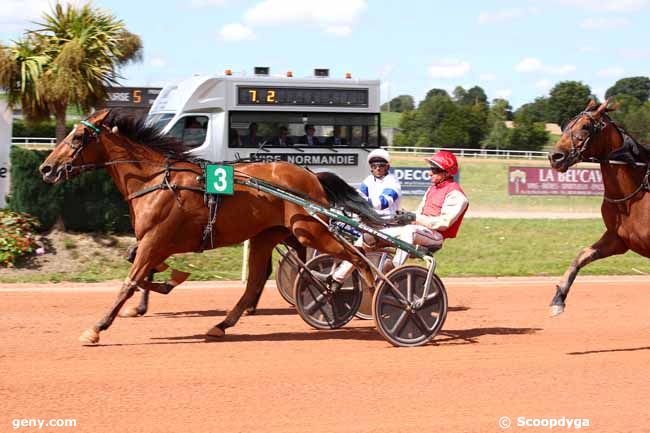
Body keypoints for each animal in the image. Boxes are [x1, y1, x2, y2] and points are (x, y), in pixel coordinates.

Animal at [40, 109, 374, 342]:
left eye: (77, 138)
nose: (46, 168)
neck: (155, 180)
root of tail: (311, 175)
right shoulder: (156, 242)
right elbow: (143, 272)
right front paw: (164, 285)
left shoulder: (155, 239)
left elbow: (130, 281)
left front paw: (97, 328)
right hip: (268, 236)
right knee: (257, 282)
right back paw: (222, 325)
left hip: (310, 230)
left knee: (356, 258)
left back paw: (372, 295)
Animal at [548, 98, 648, 314]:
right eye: (565, 125)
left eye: (586, 126)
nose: (555, 157)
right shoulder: (618, 239)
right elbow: (582, 256)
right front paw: (559, 297)